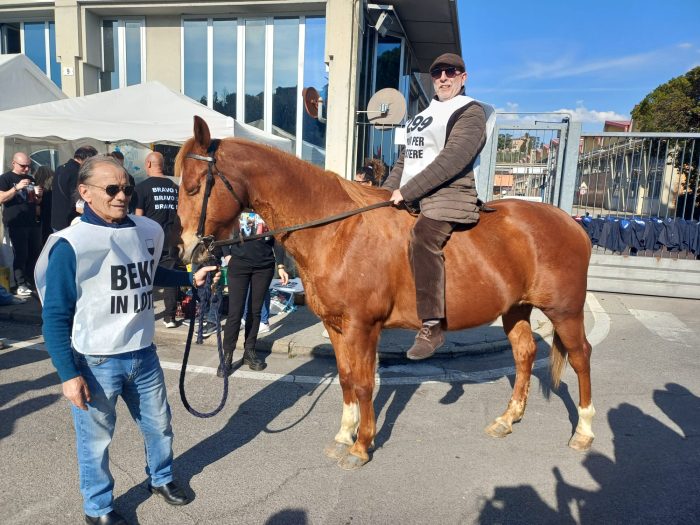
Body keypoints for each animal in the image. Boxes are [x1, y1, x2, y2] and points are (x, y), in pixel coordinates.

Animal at [176, 116, 594, 470]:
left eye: (194, 187)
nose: (185, 250)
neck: (336, 231)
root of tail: (571, 223)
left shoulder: (363, 327)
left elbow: (364, 383)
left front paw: (362, 445)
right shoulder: (337, 326)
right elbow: (346, 378)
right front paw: (344, 435)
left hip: (564, 311)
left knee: (580, 357)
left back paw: (584, 430)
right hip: (516, 309)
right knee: (524, 355)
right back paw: (509, 418)